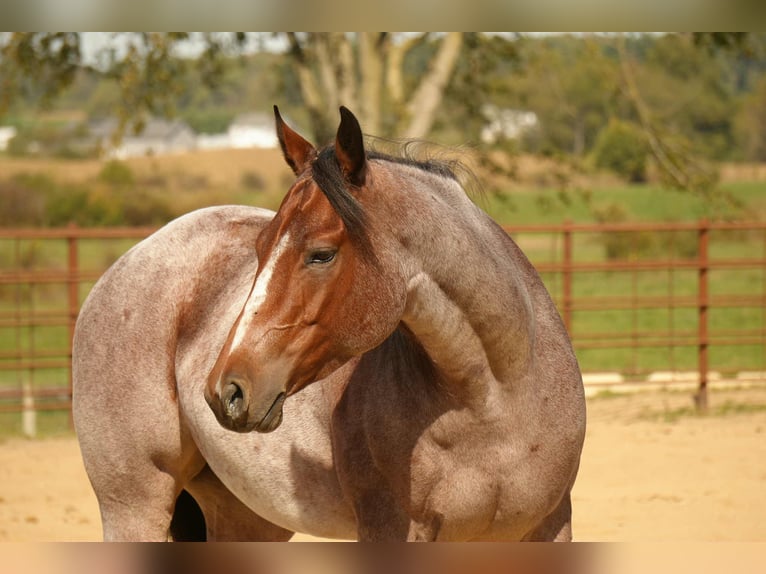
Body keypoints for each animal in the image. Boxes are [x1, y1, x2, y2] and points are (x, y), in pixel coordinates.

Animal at [72, 106, 586, 541]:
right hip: (134, 509)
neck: (494, 401)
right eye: (260, 247)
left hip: (244, 518)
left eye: (321, 254)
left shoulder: (549, 527)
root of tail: (123, 265)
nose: (226, 390)